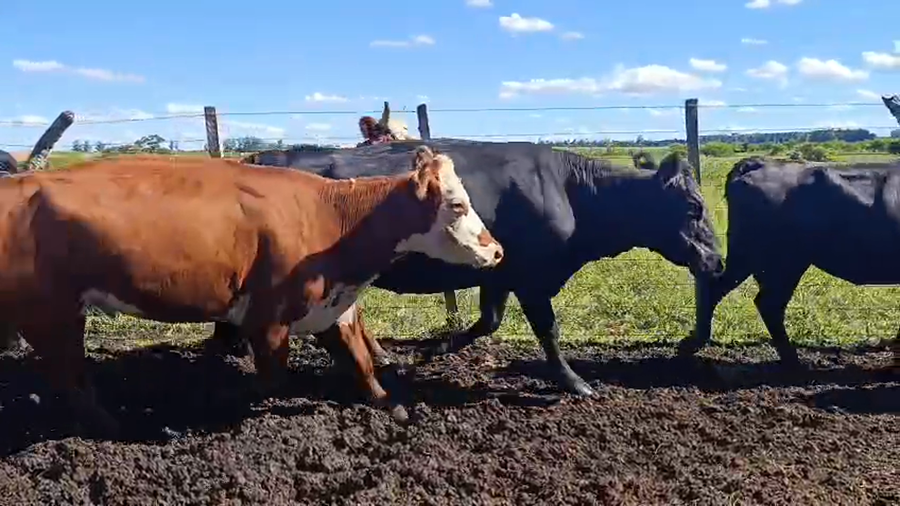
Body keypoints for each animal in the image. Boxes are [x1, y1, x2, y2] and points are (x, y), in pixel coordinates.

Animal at [0, 146, 504, 436]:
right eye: (457, 204)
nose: (497, 251)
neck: (332, 220)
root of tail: (17, 184)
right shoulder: (269, 318)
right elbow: (270, 379)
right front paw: (217, 408)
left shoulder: (331, 307)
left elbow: (361, 363)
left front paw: (390, 406)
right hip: (50, 312)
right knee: (70, 378)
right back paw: (112, 426)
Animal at [211, 140, 725, 398]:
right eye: (694, 207)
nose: (717, 262)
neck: (569, 190)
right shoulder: (532, 276)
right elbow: (548, 331)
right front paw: (577, 384)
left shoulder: (499, 272)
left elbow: (487, 322)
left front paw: (430, 352)